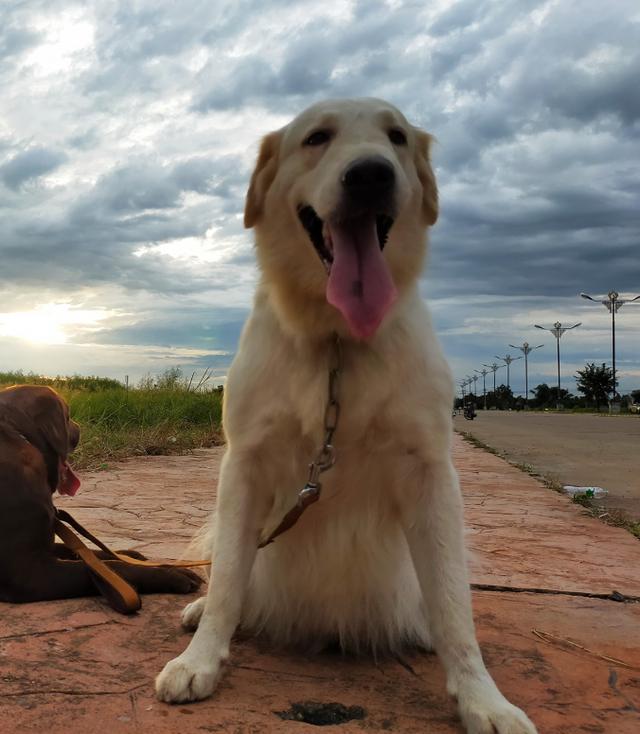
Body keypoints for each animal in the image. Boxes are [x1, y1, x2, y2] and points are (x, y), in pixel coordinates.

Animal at [0, 386, 201, 604]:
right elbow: (113, 567)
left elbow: (90, 553)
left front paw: (128, 554)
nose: (79, 427)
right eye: (68, 415)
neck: (20, 436)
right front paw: (171, 574)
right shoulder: (30, 573)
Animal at [155, 99, 536, 734]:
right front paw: (200, 659)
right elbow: (231, 576)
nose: (371, 175)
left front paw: (484, 698)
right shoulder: (244, 465)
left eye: (397, 137)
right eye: (317, 138)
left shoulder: (431, 472)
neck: (337, 339)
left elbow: (454, 606)